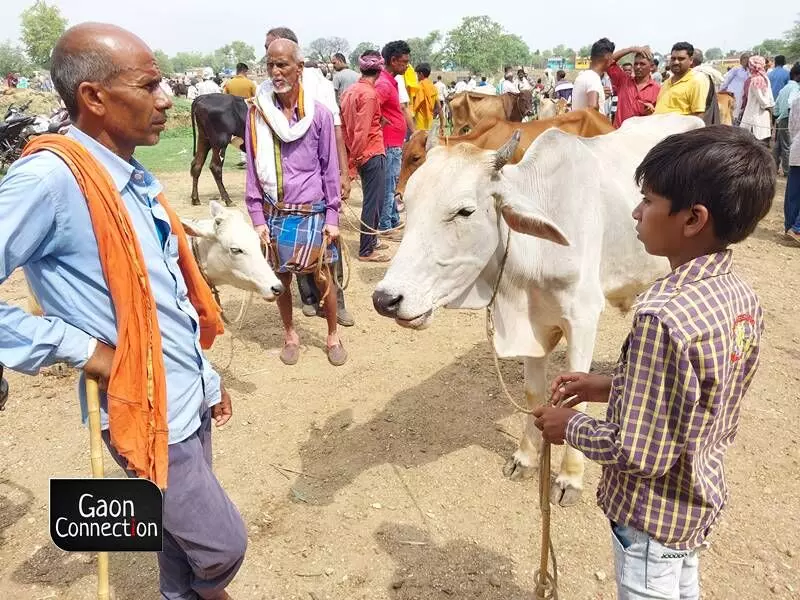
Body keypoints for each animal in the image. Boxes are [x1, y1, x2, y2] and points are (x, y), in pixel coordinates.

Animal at [372, 113, 704, 506]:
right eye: (409, 202)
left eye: (465, 211)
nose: (386, 299)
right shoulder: (532, 325)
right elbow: (533, 393)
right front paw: (526, 458)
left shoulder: (583, 319)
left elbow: (575, 403)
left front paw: (570, 478)